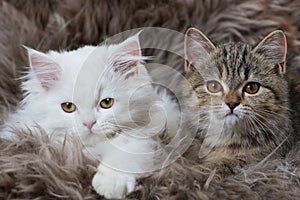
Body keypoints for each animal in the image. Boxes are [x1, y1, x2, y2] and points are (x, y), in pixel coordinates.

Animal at [1, 34, 180, 198]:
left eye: (106, 103)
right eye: (68, 107)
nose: (88, 123)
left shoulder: (145, 135)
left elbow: (125, 152)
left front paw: (110, 185)